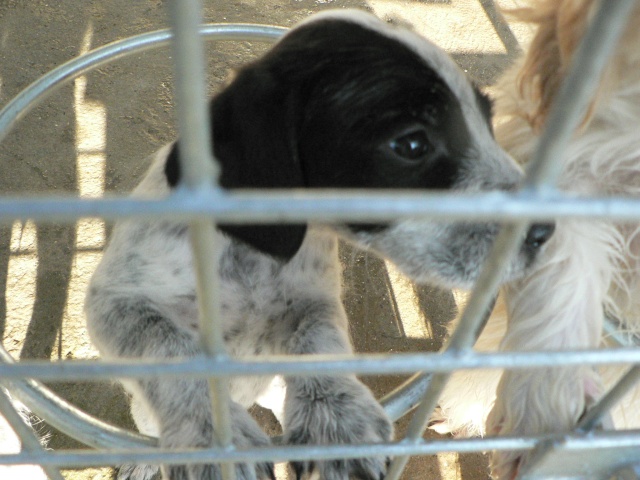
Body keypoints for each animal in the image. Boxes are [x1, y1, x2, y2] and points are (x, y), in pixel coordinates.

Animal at [86, 10, 556, 480]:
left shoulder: (314, 301)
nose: (546, 231)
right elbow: (171, 349)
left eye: (488, 122)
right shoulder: (115, 305)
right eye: (412, 144)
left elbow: (320, 343)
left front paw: (338, 420)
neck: (251, 256)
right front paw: (216, 440)